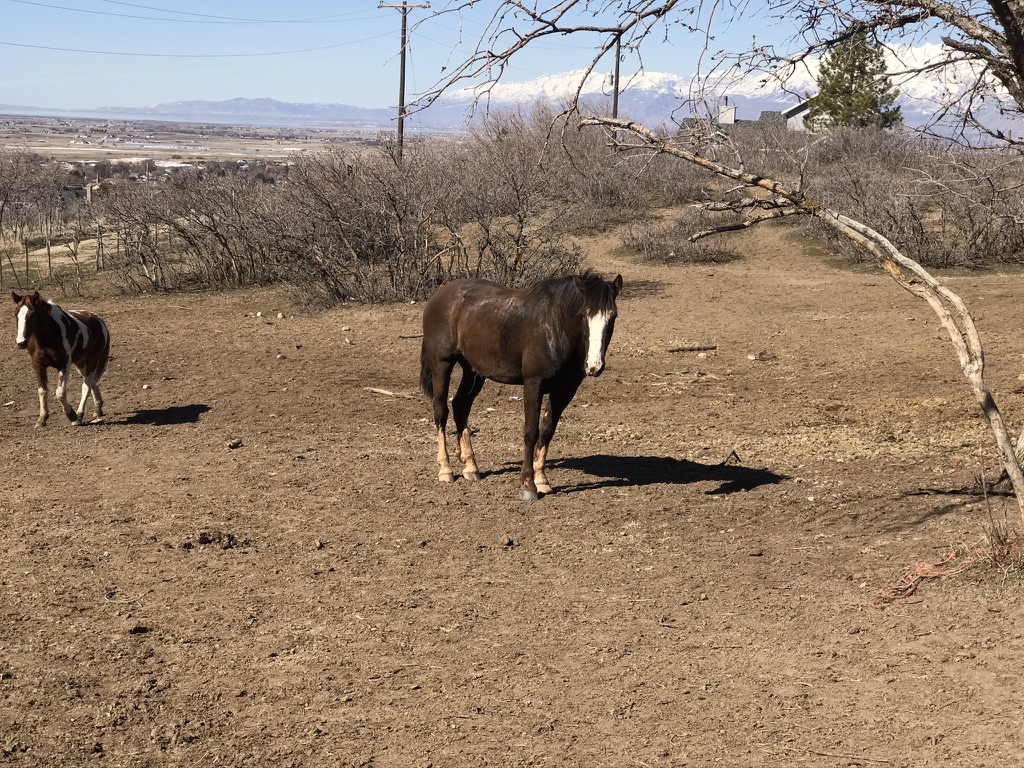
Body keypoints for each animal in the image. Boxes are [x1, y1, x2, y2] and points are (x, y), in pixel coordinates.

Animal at [11, 290, 110, 430]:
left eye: (32, 314)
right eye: (16, 313)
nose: (21, 342)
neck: (47, 337)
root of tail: (98, 321)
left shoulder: (64, 364)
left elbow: (60, 393)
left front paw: (71, 415)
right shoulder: (38, 365)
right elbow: (42, 391)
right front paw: (41, 419)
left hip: (92, 359)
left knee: (86, 385)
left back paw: (79, 416)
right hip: (80, 363)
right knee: (91, 382)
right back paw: (98, 409)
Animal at [417, 274, 622, 501]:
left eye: (612, 316)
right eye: (583, 315)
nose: (594, 366)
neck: (555, 326)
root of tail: (438, 295)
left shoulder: (565, 390)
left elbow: (547, 431)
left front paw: (542, 481)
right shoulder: (533, 384)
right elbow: (531, 431)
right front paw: (528, 485)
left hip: (473, 371)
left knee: (461, 406)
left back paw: (471, 467)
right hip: (442, 364)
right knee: (441, 411)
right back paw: (445, 470)